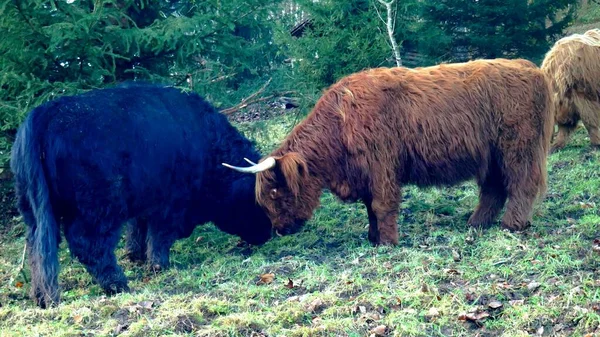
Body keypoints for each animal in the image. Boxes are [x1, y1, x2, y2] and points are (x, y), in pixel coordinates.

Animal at [9, 82, 272, 308]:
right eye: (258, 201)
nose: (266, 234)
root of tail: (42, 114)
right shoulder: (171, 203)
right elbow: (160, 235)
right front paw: (159, 265)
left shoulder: (146, 198)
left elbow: (138, 228)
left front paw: (136, 255)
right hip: (98, 207)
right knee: (88, 244)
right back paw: (117, 284)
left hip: (33, 211)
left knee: (37, 248)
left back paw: (41, 297)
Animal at [224, 58, 552, 244]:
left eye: (275, 192)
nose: (280, 230)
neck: (339, 124)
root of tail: (530, 67)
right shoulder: (364, 174)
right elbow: (369, 208)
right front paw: (373, 237)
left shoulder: (381, 165)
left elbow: (382, 205)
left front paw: (388, 242)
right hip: (492, 154)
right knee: (494, 188)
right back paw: (477, 223)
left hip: (517, 147)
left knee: (522, 183)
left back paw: (511, 225)